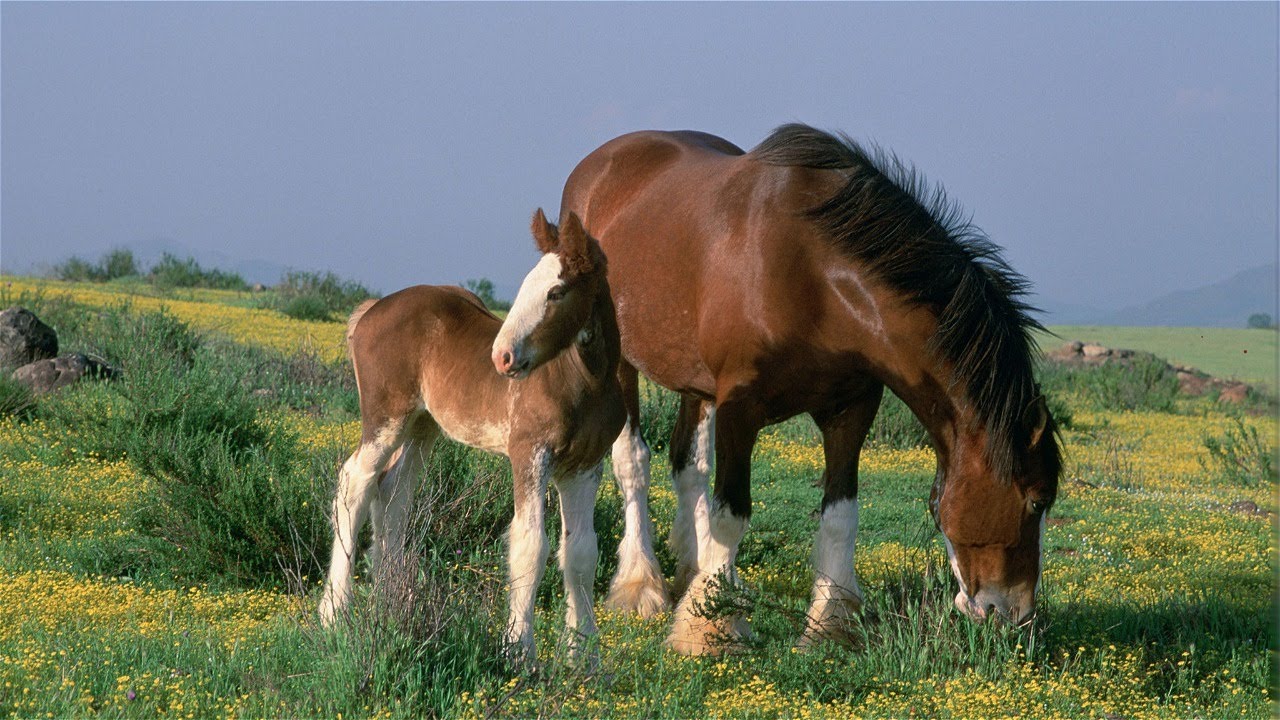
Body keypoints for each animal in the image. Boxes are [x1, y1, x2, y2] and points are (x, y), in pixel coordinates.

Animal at [318, 210, 625, 665]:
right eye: (525, 284)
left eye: (556, 291)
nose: (502, 357)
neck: (585, 380)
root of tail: (373, 309)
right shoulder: (529, 454)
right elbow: (530, 546)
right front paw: (519, 651)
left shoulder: (585, 465)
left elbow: (582, 554)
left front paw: (585, 660)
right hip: (385, 418)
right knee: (355, 482)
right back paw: (334, 611)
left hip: (422, 426)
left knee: (393, 494)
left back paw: (390, 605)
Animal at [559, 124, 1061, 654]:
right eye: (1037, 499)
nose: (1016, 616)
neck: (815, 276)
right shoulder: (741, 409)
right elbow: (730, 515)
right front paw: (711, 628)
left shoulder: (850, 409)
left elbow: (840, 514)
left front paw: (830, 621)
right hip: (618, 364)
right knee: (633, 462)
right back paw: (641, 586)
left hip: (695, 383)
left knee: (688, 467)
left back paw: (692, 572)